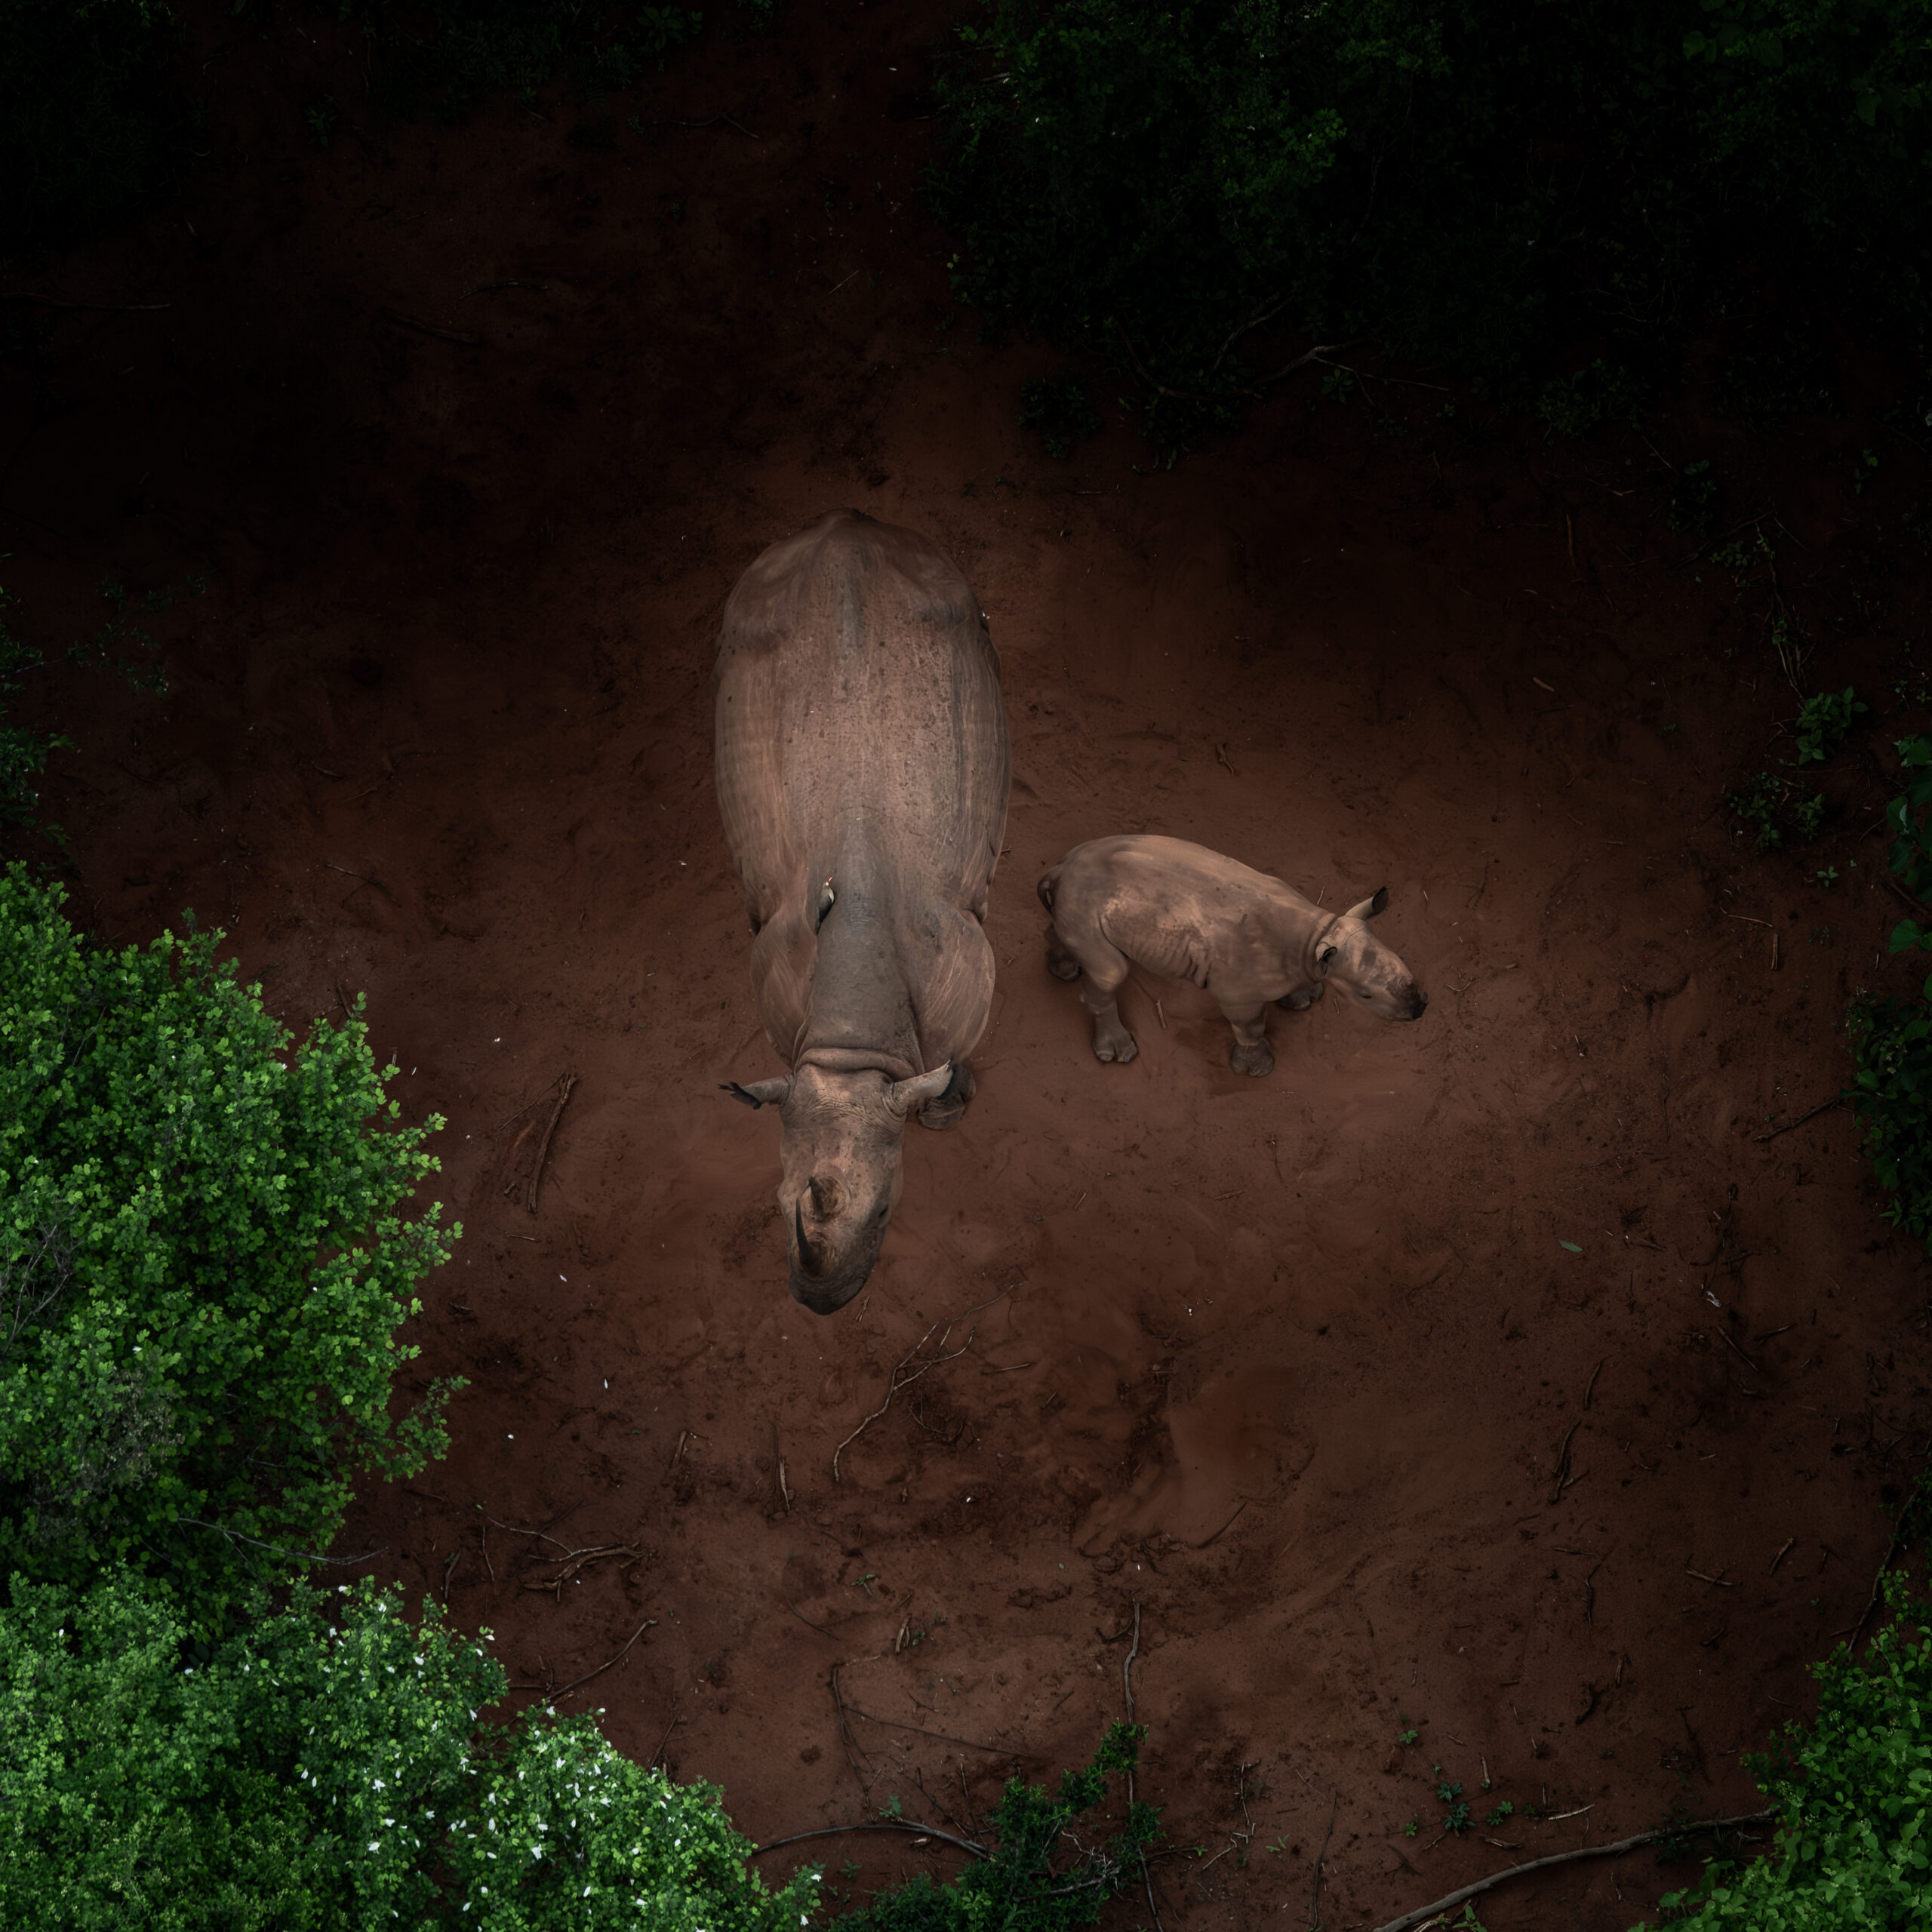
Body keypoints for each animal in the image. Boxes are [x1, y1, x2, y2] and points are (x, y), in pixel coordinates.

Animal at [714, 510, 1011, 1314]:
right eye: (776, 1203)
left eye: (885, 1212)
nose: (820, 1304)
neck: (855, 1044)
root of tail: (846, 520)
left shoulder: (966, 973)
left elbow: (945, 1071)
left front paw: (947, 1115)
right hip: (746, 619)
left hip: (955, 607)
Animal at [1037, 834, 1427, 1077]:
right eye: (1366, 996)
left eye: (1404, 961)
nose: (1420, 1009)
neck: (1315, 935)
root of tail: (1060, 868)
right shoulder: (1238, 992)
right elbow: (1250, 1025)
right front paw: (1256, 1068)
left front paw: (1305, 999)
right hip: (1087, 898)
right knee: (1111, 971)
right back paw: (1118, 1053)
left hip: (1083, 896)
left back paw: (1066, 968)